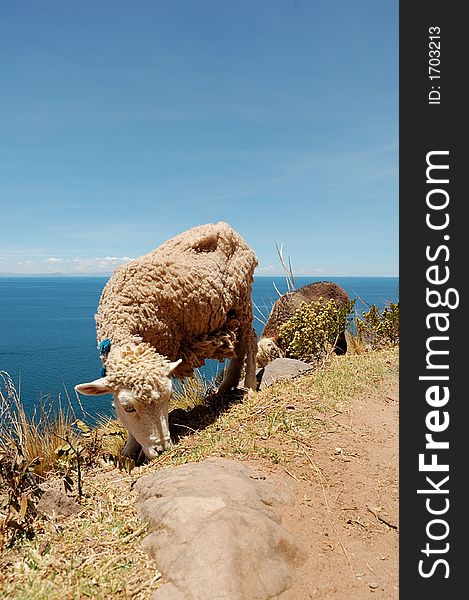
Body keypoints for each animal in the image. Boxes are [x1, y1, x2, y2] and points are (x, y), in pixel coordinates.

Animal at [75, 223, 258, 462]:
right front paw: (129, 449)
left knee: (249, 339)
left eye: (169, 398)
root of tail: (224, 226)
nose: (162, 450)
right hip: (230, 310)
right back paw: (226, 387)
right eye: (128, 408)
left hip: (242, 298)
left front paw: (134, 447)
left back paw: (250, 387)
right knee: (238, 345)